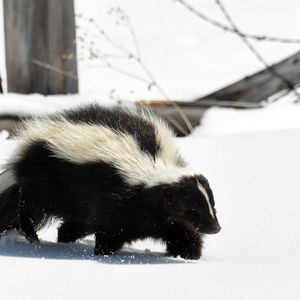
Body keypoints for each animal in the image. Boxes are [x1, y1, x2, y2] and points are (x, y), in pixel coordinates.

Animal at [0, 104, 220, 258]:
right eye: (192, 209)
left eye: (212, 206)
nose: (216, 228)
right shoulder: (117, 200)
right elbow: (111, 231)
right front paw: (103, 253)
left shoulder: (167, 218)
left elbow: (183, 232)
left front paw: (188, 254)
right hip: (48, 181)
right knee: (30, 205)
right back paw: (32, 235)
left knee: (73, 224)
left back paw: (65, 239)